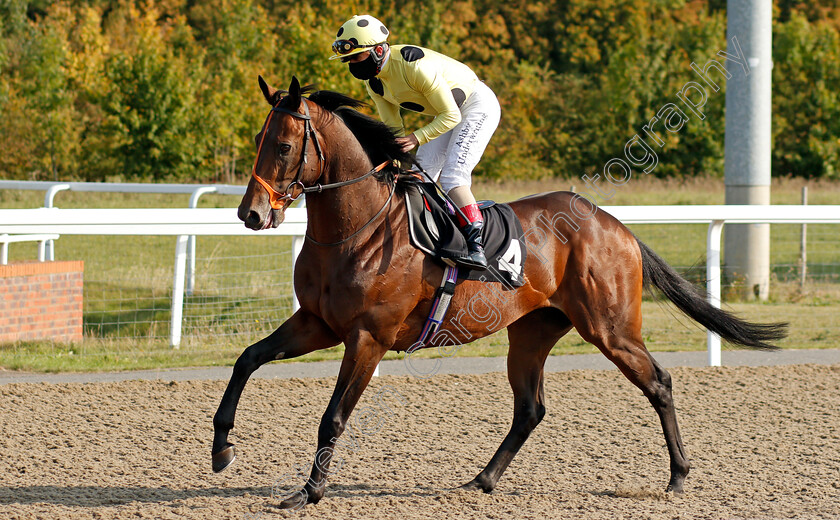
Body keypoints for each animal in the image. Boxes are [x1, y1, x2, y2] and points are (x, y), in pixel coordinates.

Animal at [212, 76, 788, 508]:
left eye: (284, 145)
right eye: (259, 139)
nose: (251, 214)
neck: (358, 227)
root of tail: (616, 225)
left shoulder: (367, 337)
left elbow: (333, 416)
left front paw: (306, 493)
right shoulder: (316, 323)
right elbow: (246, 360)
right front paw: (222, 448)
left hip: (612, 328)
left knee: (659, 383)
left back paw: (678, 475)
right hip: (532, 332)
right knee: (530, 408)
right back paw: (482, 479)